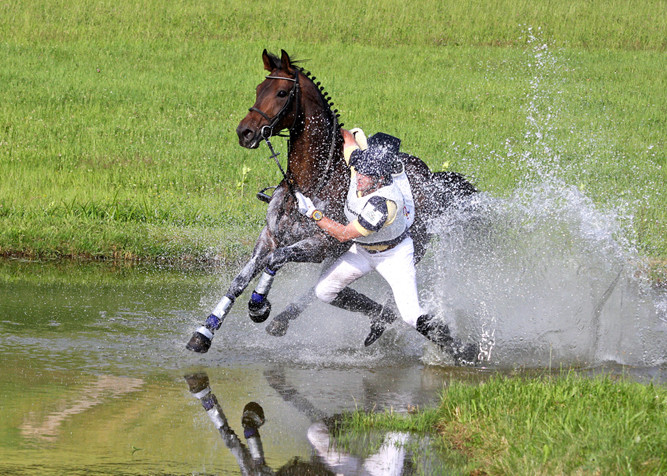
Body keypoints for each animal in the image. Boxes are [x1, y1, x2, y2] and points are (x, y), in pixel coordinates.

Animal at [185, 50, 478, 356]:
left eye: (281, 92)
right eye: (258, 89)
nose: (245, 132)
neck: (308, 183)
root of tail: (432, 176)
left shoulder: (320, 244)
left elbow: (276, 260)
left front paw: (258, 306)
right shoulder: (270, 237)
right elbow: (239, 281)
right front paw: (204, 333)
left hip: (413, 246)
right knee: (329, 288)